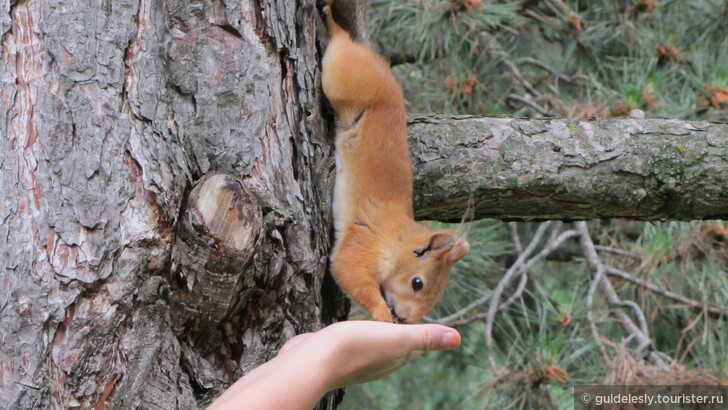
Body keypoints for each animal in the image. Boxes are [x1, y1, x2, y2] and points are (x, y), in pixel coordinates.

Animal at [320, 0, 470, 324]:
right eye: (417, 283)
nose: (406, 321)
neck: (399, 239)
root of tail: (380, 68)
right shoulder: (363, 244)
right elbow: (347, 270)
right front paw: (381, 313)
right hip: (342, 77)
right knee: (340, 43)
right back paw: (332, 24)